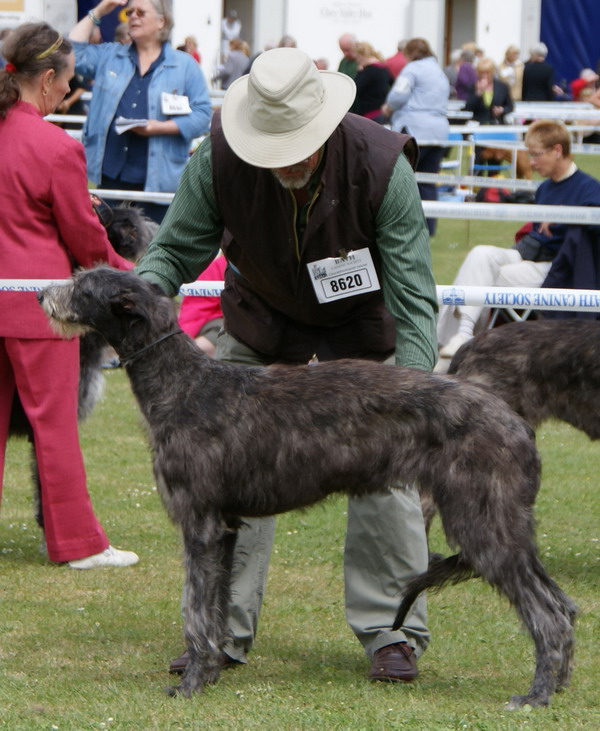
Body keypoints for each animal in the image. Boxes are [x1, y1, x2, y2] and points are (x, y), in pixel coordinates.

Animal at [37, 268, 576, 708]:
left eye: (83, 285)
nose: (41, 293)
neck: (183, 384)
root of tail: (516, 424)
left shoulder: (200, 523)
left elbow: (193, 608)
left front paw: (189, 684)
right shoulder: (225, 527)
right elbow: (214, 608)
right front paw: (209, 671)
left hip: (483, 521)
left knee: (547, 611)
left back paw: (536, 695)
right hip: (504, 522)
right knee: (565, 605)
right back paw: (560, 682)